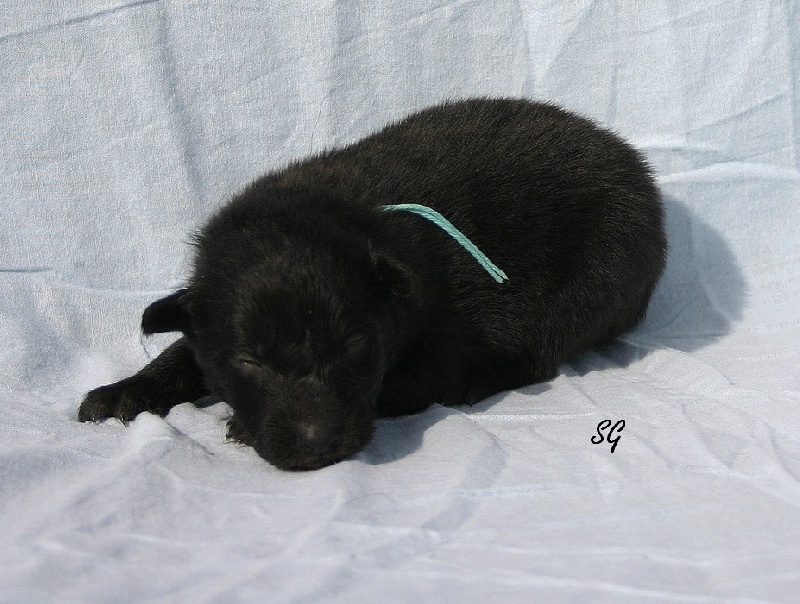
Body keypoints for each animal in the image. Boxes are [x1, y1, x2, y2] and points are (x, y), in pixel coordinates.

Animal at [79, 98, 667, 471]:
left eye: (352, 347)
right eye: (249, 361)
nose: (316, 442)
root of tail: (633, 162)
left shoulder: (440, 343)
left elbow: (401, 381)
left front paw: (239, 427)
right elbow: (183, 351)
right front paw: (123, 391)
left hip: (601, 273)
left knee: (542, 351)